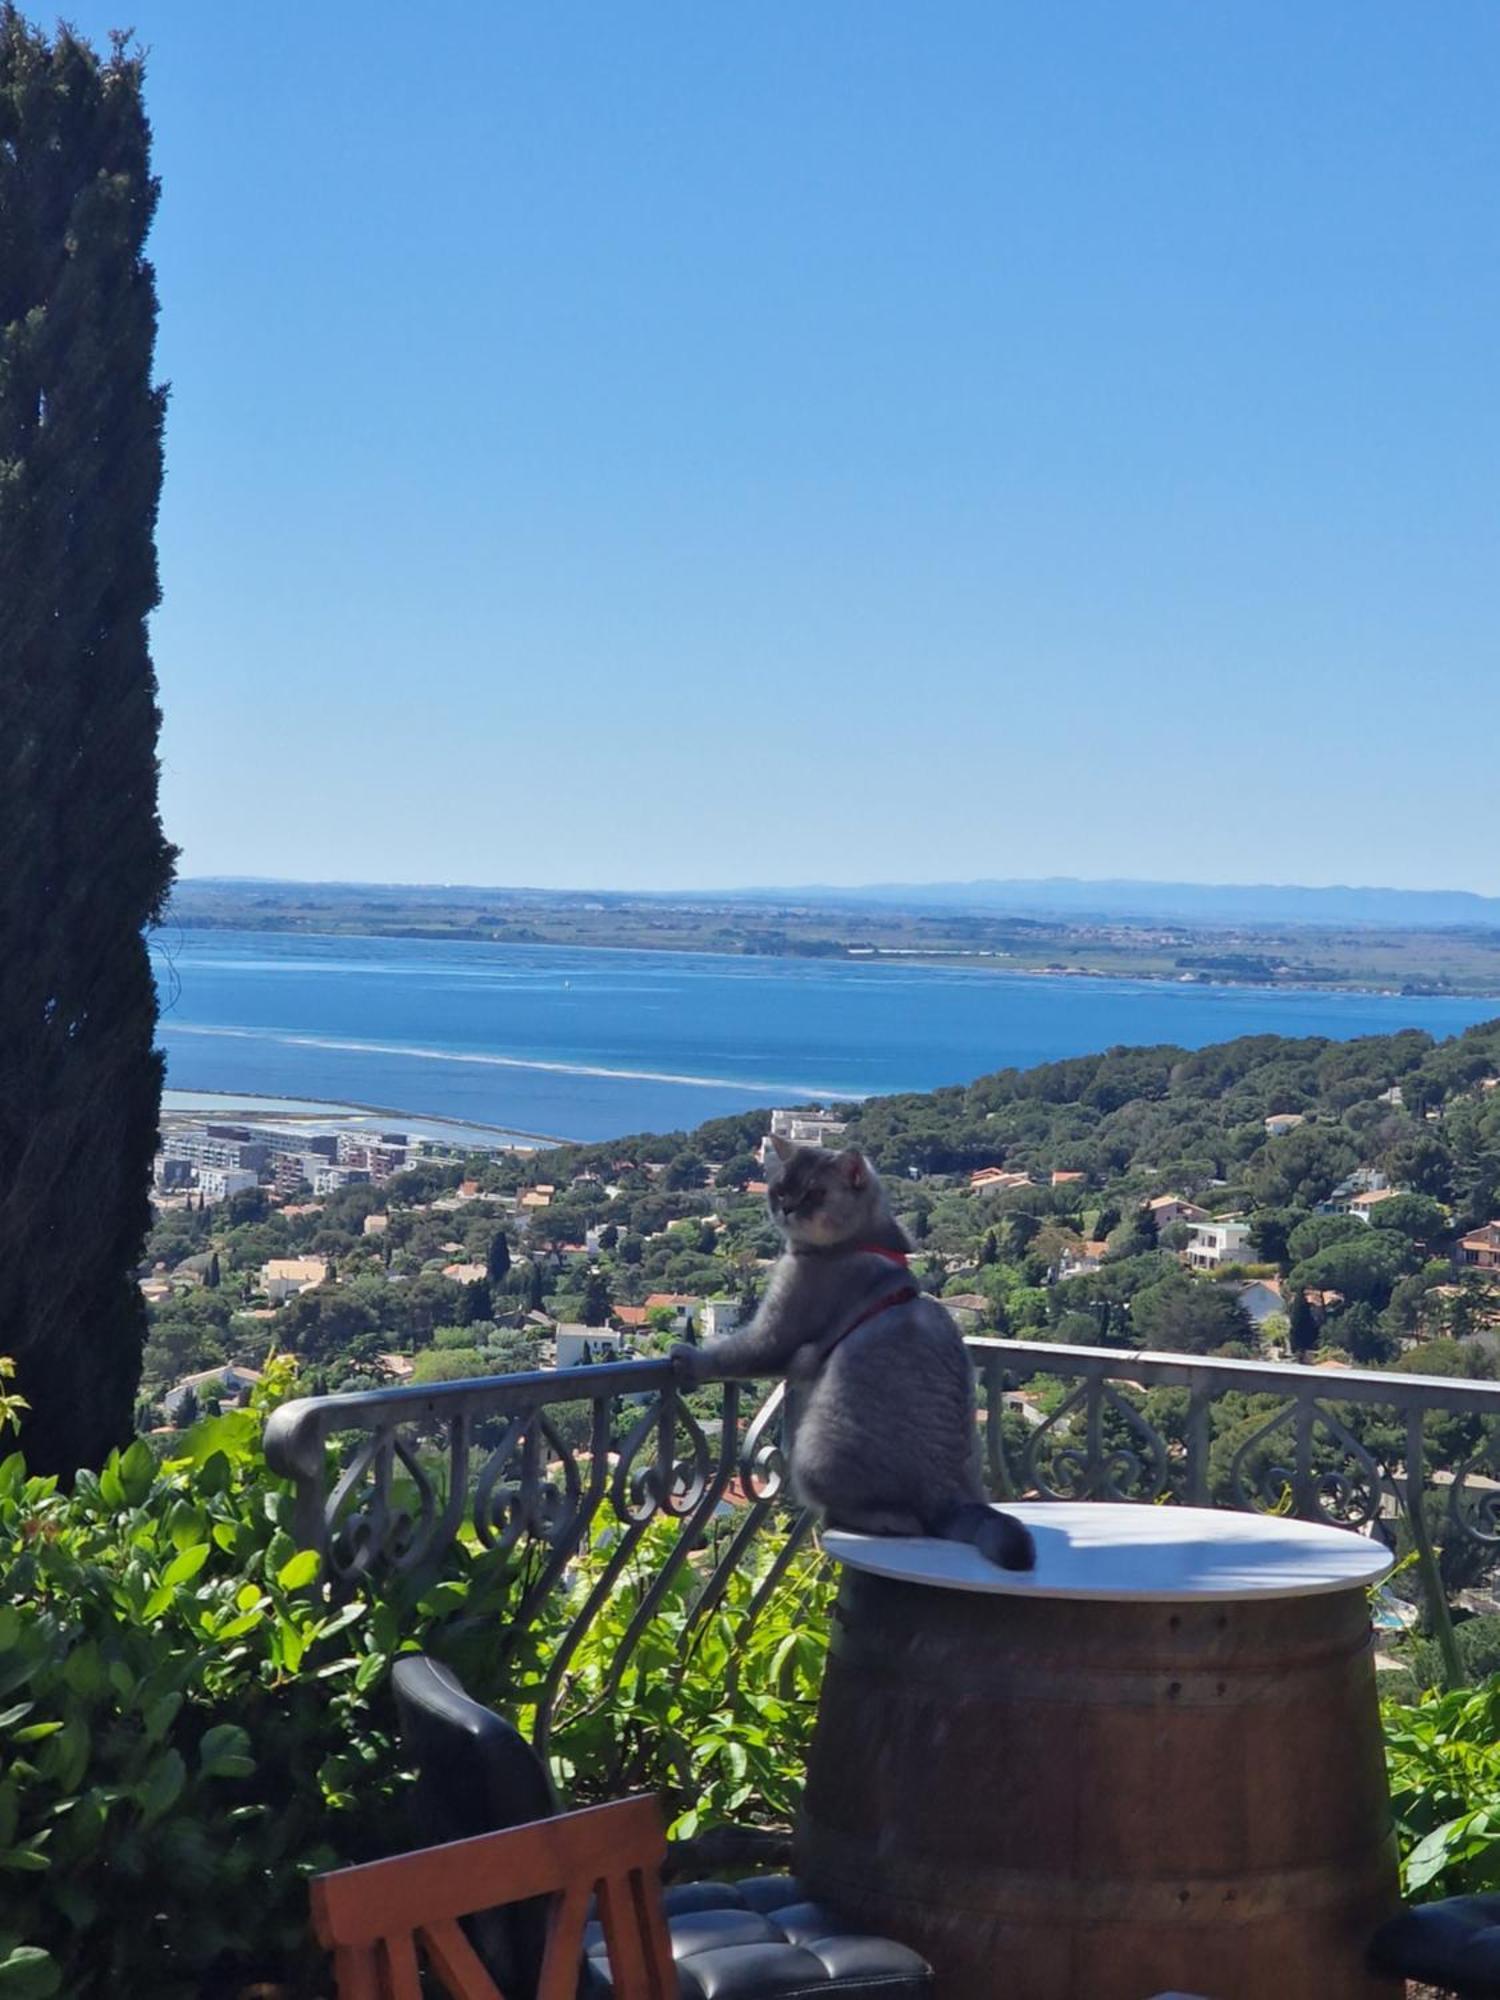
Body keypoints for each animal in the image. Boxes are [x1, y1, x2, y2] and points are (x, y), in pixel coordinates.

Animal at [676, 1136, 1040, 1568]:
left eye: (813, 1193)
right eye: (780, 1189)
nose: (787, 1207)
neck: (862, 1242)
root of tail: (954, 1499)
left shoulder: (777, 1333)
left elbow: (731, 1354)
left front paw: (687, 1358)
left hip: (814, 1451)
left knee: (896, 1520)